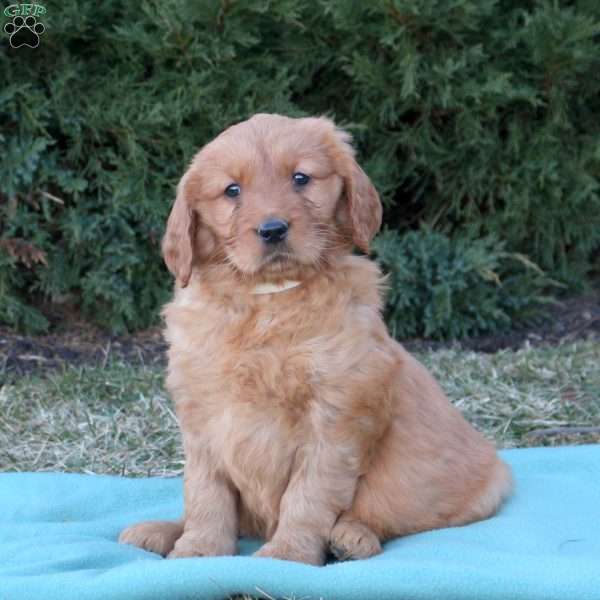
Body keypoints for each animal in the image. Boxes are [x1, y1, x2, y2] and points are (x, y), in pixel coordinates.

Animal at [118, 113, 510, 568]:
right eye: (232, 190)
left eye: (301, 178)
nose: (272, 229)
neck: (267, 300)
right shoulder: (203, 415)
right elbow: (205, 493)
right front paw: (198, 549)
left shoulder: (336, 417)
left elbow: (308, 496)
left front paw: (287, 553)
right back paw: (159, 531)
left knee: (382, 517)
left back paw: (352, 537)